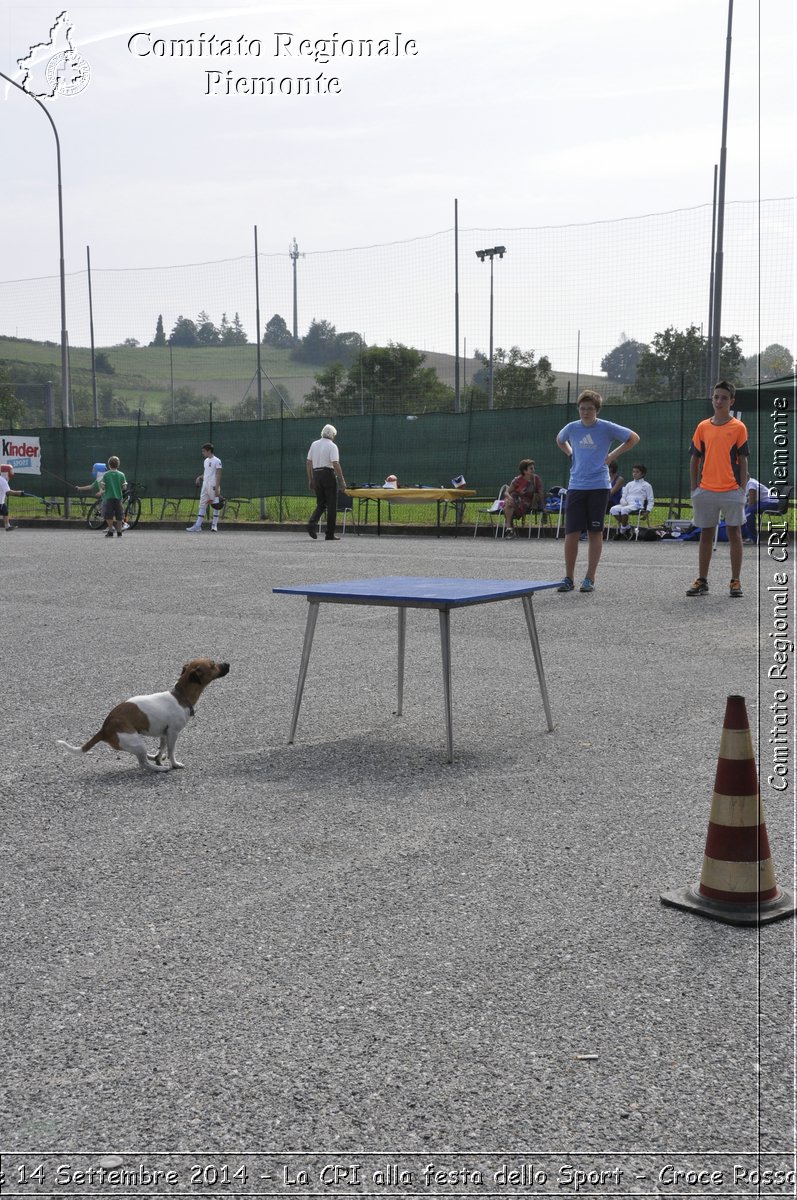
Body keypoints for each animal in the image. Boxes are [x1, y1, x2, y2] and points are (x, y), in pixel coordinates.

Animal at [56, 662, 229, 772]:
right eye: (213, 664)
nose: (227, 663)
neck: (180, 696)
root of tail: (104, 729)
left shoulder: (164, 733)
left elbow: (162, 747)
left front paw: (158, 757)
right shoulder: (173, 733)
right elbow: (171, 751)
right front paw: (174, 764)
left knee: (145, 759)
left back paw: (154, 759)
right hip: (137, 742)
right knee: (143, 764)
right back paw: (159, 769)